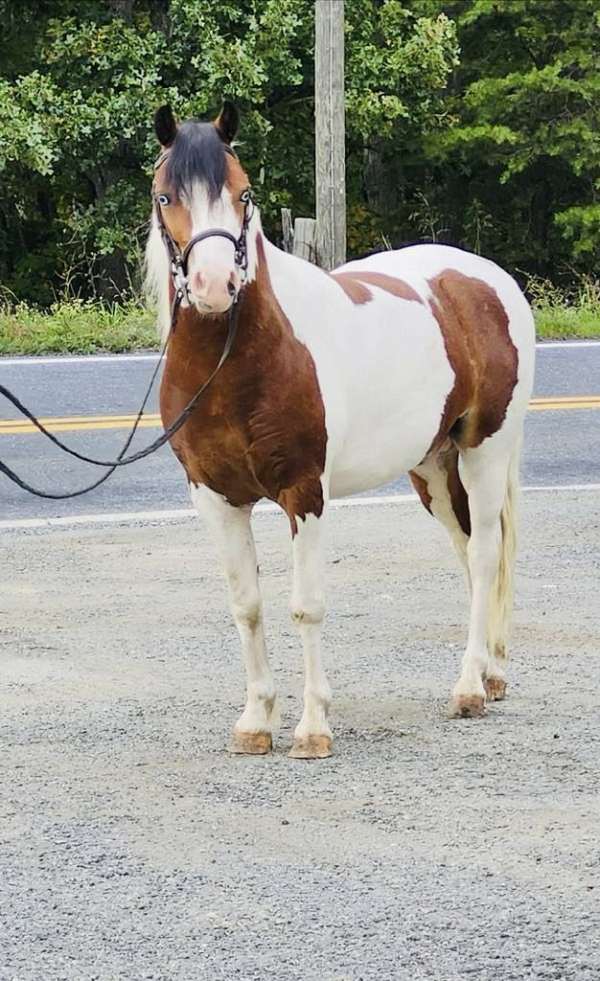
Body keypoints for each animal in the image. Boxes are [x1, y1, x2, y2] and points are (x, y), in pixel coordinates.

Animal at [145, 103, 536, 756]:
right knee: (467, 553)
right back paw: (490, 674)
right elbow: (247, 606)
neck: (239, 361)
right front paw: (256, 722)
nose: (213, 285)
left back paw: (468, 690)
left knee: (484, 555)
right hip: (433, 469)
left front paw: (312, 728)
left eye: (243, 193)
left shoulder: (305, 492)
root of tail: (487, 280)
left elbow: (306, 607)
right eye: (165, 195)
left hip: (485, 451)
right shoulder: (215, 497)